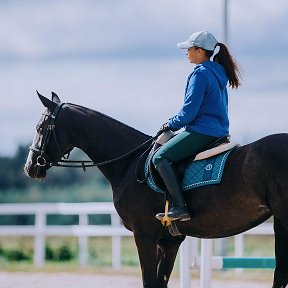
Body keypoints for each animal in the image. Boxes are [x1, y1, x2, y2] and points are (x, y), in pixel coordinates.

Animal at [24, 93, 288, 288]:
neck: (129, 162)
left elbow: (149, 283)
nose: (30, 166)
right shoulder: (169, 241)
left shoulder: (145, 235)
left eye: (40, 127)